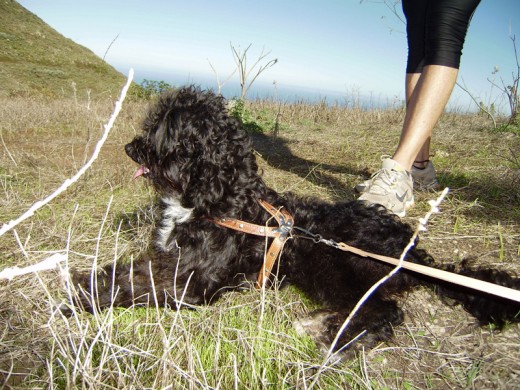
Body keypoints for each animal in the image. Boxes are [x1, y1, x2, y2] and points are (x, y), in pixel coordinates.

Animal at [75, 87, 516, 354]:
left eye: (162, 132)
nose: (129, 147)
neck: (220, 199)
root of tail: (414, 254)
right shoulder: (168, 254)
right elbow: (138, 268)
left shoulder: (193, 280)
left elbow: (137, 281)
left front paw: (82, 290)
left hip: (337, 264)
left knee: (384, 313)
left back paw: (327, 334)